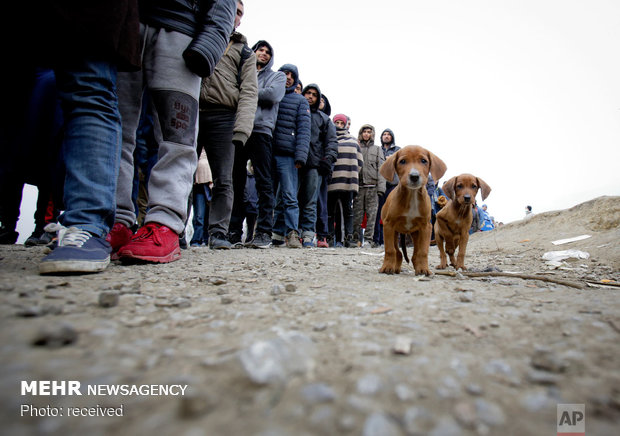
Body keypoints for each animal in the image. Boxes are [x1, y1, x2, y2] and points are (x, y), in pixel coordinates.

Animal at [378, 146, 446, 276]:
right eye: (402, 161)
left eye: (424, 161)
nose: (414, 176)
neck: (412, 195)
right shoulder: (388, 225)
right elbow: (389, 250)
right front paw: (387, 267)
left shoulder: (426, 227)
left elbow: (423, 252)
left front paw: (423, 268)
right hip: (395, 232)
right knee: (398, 252)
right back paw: (395, 268)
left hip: (416, 233)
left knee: (414, 254)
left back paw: (418, 267)